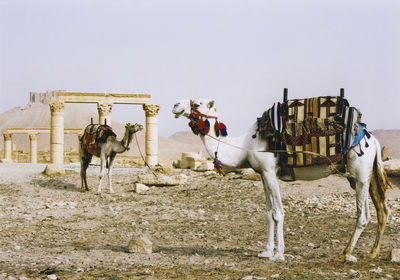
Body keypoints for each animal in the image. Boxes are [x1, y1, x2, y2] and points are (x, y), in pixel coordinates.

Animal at [172, 97, 390, 262]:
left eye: (197, 103)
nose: (175, 105)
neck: (245, 145)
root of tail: (373, 140)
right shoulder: (263, 173)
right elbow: (268, 213)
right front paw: (266, 251)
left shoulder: (269, 171)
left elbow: (278, 213)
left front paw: (278, 254)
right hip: (365, 176)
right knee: (380, 210)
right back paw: (372, 252)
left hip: (360, 173)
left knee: (363, 215)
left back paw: (345, 253)